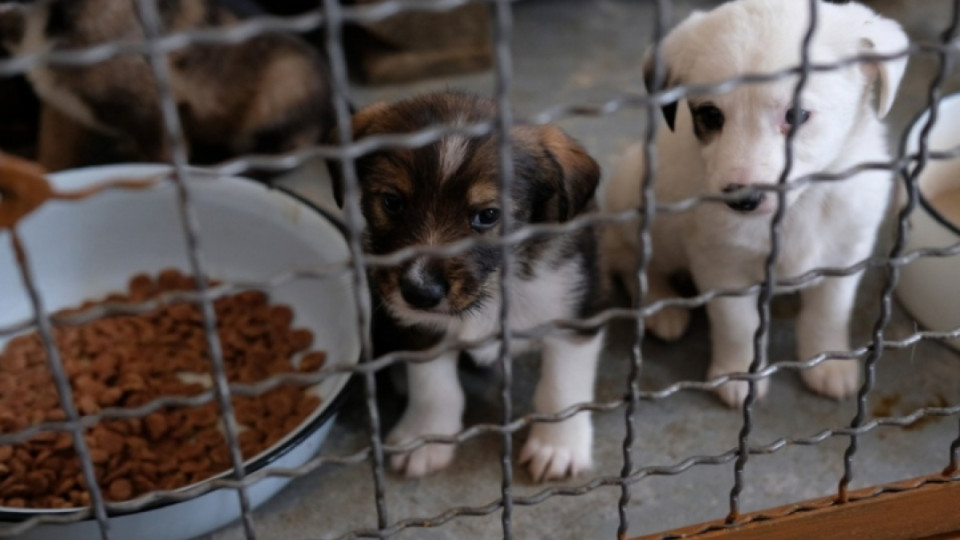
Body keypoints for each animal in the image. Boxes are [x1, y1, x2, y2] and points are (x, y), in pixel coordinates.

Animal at [338, 90, 608, 478]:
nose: (419, 292)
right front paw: (426, 436)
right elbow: (433, 387)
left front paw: (558, 445)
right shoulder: (422, 330)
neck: (492, 288)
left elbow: (562, 388)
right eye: (392, 202)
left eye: (488, 215)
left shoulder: (576, 313)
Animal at [600, 0, 908, 404]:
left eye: (796, 115)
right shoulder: (722, 266)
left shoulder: (847, 254)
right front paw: (737, 375)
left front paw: (828, 362)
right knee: (631, 263)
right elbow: (738, 324)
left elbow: (829, 312)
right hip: (637, 207)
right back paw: (660, 308)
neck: (796, 210)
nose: (742, 199)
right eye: (710, 115)